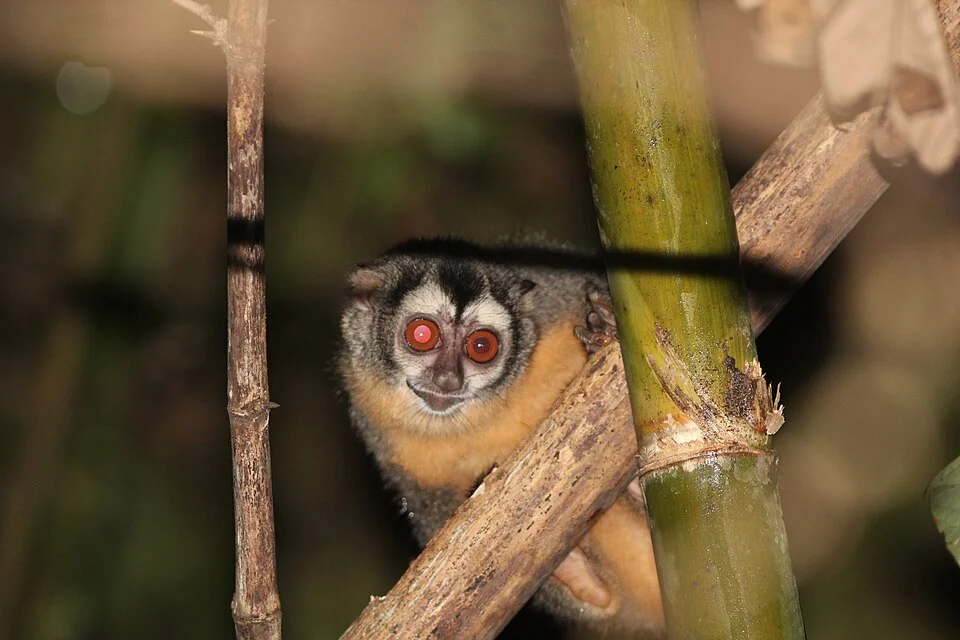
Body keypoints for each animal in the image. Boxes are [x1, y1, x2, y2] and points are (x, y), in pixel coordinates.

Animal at [339, 238, 664, 636]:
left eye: (481, 346)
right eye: (422, 335)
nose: (448, 380)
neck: (484, 410)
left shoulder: (563, 292)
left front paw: (604, 323)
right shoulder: (390, 449)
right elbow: (600, 600)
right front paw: (572, 570)